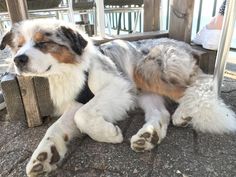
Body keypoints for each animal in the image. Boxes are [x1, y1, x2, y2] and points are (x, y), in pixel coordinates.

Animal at [1, 18, 236, 176]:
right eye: (18, 45)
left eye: (42, 43)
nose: (18, 59)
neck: (67, 71)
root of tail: (184, 45)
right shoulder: (77, 101)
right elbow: (55, 127)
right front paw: (44, 156)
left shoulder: (119, 86)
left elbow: (82, 116)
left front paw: (108, 133)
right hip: (145, 93)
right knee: (161, 113)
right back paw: (148, 136)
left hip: (146, 70)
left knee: (201, 82)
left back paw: (185, 113)